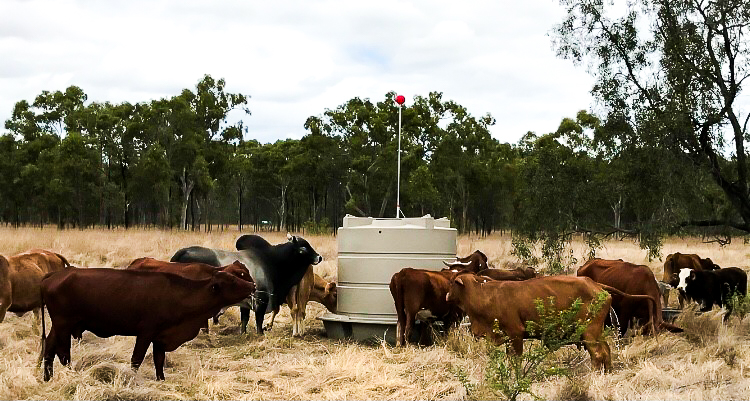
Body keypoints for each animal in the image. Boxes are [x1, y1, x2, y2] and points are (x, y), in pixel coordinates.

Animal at [41, 268, 256, 380]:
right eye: (233, 281)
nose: (253, 285)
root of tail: (55, 275)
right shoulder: (145, 333)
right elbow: (136, 359)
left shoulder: (160, 337)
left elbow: (159, 360)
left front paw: (161, 379)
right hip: (63, 325)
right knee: (60, 352)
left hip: (59, 327)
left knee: (51, 349)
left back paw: (48, 377)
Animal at [170, 233, 324, 332]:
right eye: (303, 248)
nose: (319, 257)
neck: (271, 260)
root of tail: (183, 252)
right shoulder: (262, 299)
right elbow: (259, 320)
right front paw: (260, 334)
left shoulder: (246, 301)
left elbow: (244, 319)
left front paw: (243, 333)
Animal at [446, 274, 616, 370]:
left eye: (452, 282)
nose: (446, 295)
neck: (485, 296)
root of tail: (596, 285)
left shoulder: (515, 334)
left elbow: (516, 359)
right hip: (596, 333)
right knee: (606, 350)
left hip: (589, 333)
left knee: (598, 354)